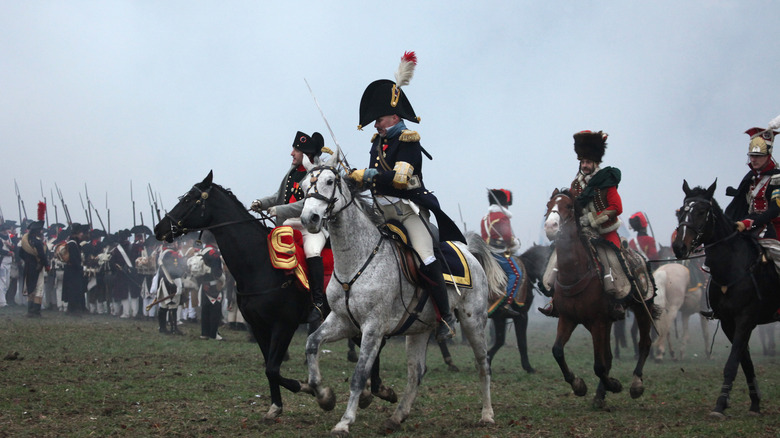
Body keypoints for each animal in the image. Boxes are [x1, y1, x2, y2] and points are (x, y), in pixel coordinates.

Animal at [152, 171, 310, 420]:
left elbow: (273, 368)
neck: (260, 264)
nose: (159, 228)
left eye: (189, 199)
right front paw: (276, 406)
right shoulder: (259, 325)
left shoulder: (285, 324)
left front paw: (310, 388)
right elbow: (270, 368)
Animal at [296, 157, 496, 434]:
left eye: (329, 181)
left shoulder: (373, 328)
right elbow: (312, 344)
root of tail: (468, 251)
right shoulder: (342, 321)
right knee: (416, 373)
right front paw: (325, 396)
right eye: (304, 186)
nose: (310, 218)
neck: (356, 261)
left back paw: (487, 414)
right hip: (419, 328)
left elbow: (359, 375)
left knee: (483, 364)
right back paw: (396, 417)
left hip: (473, 321)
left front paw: (345, 421)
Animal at [488, 243, 556, 372]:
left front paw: (486, 360)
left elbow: (500, 341)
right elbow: (522, 342)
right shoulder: (521, 315)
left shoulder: (500, 317)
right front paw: (528, 367)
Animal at [544, 189, 660, 410]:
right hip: (605, 322)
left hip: (641, 309)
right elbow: (557, 351)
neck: (575, 272)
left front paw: (614, 385)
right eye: (549, 205)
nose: (550, 227)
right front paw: (579, 385)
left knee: (644, 343)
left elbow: (599, 365)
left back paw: (635, 384)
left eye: (568, 206)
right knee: (609, 356)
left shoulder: (597, 321)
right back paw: (600, 394)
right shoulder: (568, 319)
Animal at [672, 179, 780, 418]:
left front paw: (720, 405)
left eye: (702, 211)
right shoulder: (729, 323)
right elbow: (744, 362)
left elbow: (732, 363)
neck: (733, 267)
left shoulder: (745, 319)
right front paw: (754, 403)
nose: (679, 247)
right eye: (680, 211)